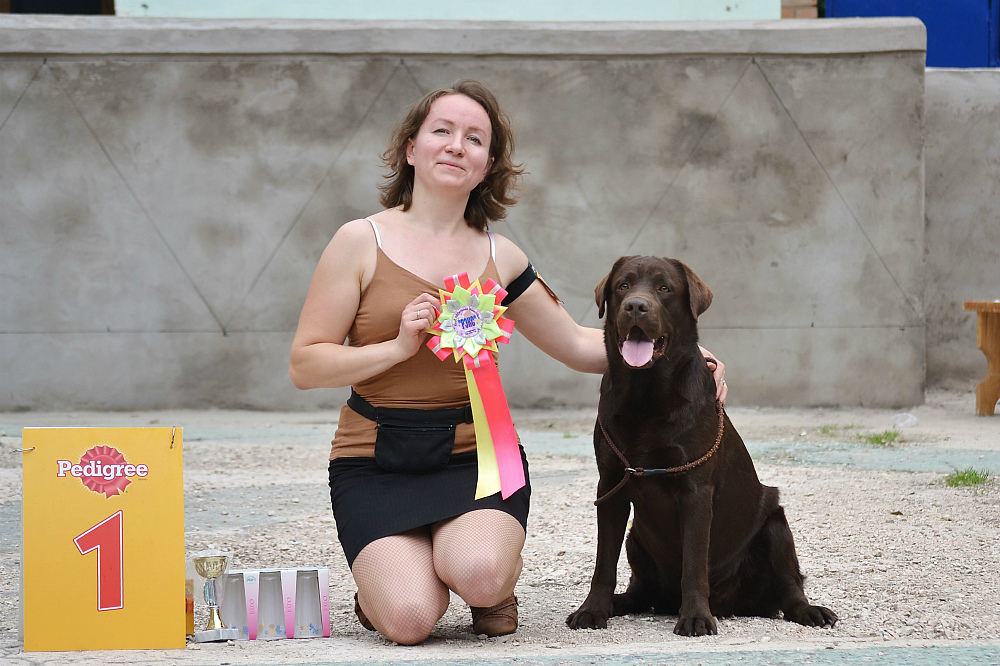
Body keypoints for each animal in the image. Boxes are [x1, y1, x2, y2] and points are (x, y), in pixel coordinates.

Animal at [566, 255, 837, 636]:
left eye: (664, 288)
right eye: (623, 285)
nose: (636, 305)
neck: (645, 394)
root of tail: (734, 604)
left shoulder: (695, 490)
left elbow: (694, 562)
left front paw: (695, 616)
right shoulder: (611, 486)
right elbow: (604, 562)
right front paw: (592, 610)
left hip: (776, 524)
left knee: (789, 584)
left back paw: (809, 611)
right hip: (637, 537)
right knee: (641, 590)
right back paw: (622, 603)